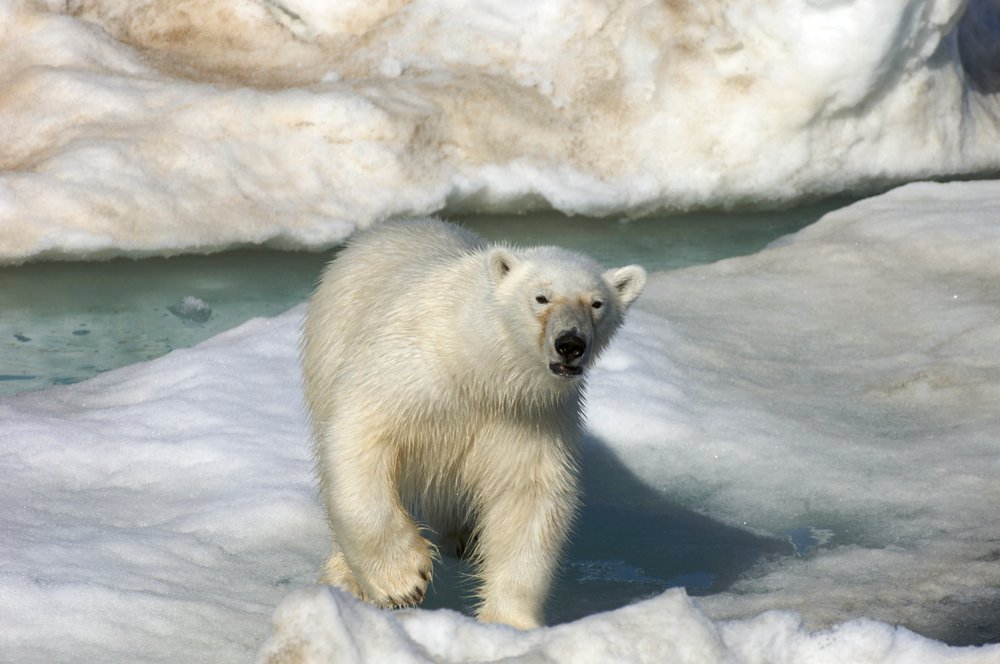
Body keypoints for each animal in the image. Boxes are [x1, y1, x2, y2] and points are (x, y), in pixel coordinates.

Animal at [300, 218, 646, 629]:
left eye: (596, 303)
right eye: (541, 297)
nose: (570, 343)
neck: (478, 369)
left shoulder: (527, 418)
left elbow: (528, 497)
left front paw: (509, 622)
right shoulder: (410, 374)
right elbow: (361, 437)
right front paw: (402, 581)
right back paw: (344, 577)